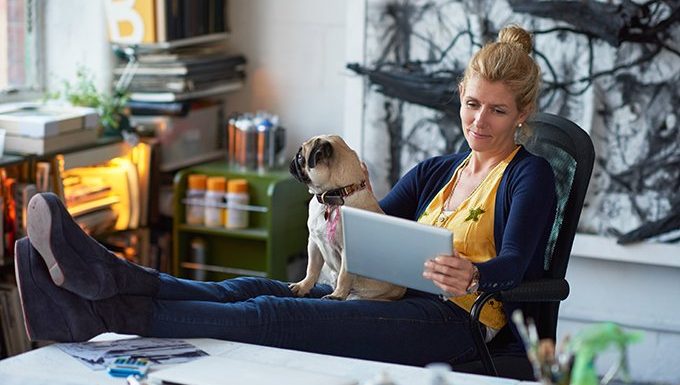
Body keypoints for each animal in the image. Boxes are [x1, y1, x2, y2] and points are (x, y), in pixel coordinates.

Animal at [286, 135, 404, 300]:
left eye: (300, 157)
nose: (292, 160)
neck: (334, 196)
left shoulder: (347, 254)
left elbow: (344, 276)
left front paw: (337, 295)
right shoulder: (314, 244)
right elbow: (312, 268)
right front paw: (303, 286)